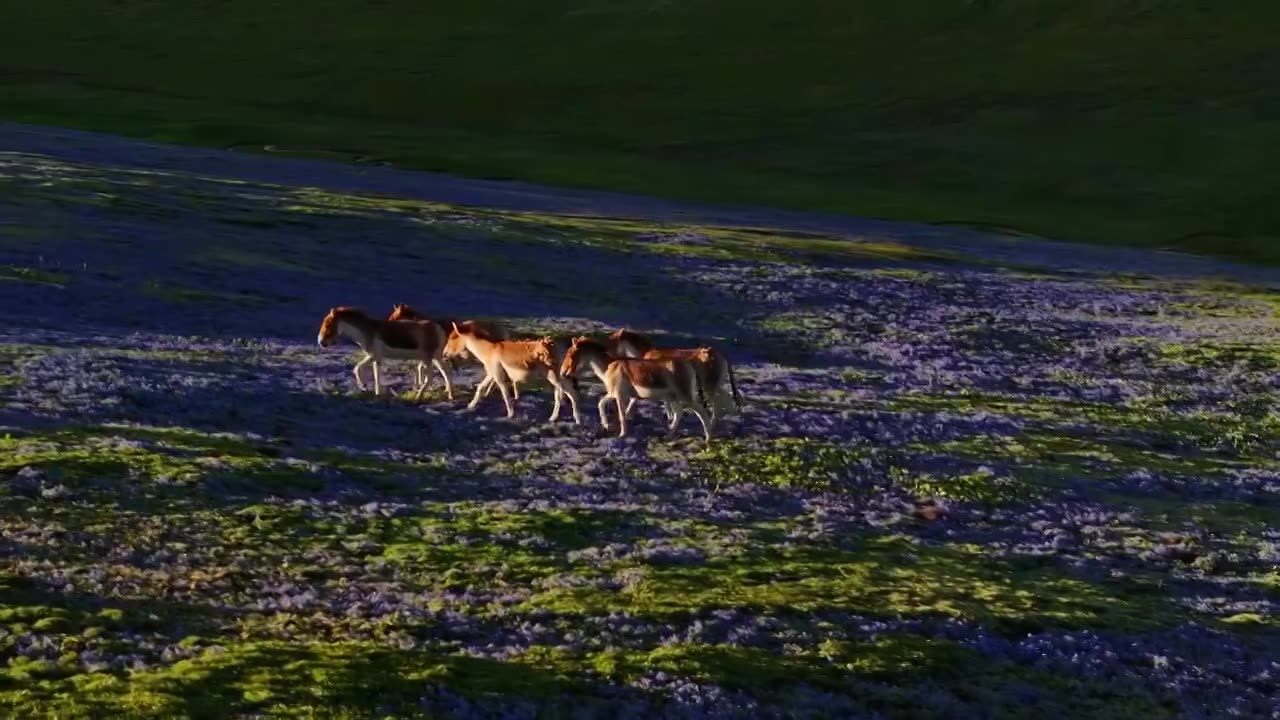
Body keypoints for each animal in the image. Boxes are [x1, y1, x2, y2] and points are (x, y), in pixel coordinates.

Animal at [316, 304, 453, 397]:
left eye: (328, 323)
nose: (321, 342)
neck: (368, 331)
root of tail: (438, 328)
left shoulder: (376, 357)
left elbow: (376, 377)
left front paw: (376, 393)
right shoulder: (373, 356)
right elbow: (357, 368)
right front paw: (363, 386)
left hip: (427, 359)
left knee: (430, 377)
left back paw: (418, 396)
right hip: (435, 358)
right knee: (445, 371)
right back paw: (449, 394)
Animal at [442, 319, 578, 420]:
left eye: (452, 337)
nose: (444, 354)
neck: (489, 350)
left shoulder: (499, 378)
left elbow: (506, 396)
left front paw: (511, 415)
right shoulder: (491, 374)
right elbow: (480, 388)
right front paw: (470, 406)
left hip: (555, 378)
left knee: (570, 394)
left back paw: (574, 419)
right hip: (556, 379)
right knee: (562, 396)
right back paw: (556, 418)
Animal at [565, 333, 716, 440]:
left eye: (571, 354)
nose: (564, 373)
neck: (610, 366)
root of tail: (689, 364)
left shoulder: (620, 397)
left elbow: (622, 416)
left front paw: (622, 435)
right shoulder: (613, 394)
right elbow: (601, 403)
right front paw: (606, 425)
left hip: (684, 397)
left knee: (702, 413)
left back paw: (708, 438)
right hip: (674, 398)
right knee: (679, 413)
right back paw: (669, 435)